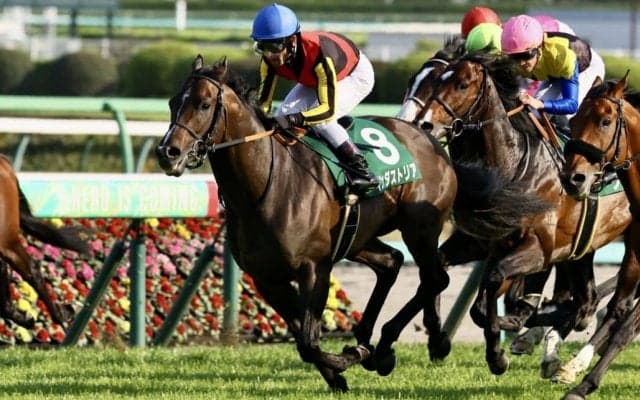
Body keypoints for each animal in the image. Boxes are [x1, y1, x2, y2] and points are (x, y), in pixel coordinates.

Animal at [155, 55, 460, 391]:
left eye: (204, 104)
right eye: (172, 102)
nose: (167, 153)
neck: (266, 186)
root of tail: (428, 137)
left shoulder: (315, 268)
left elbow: (308, 342)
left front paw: (350, 357)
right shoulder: (267, 278)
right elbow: (303, 340)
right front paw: (343, 373)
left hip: (420, 229)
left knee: (435, 279)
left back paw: (394, 346)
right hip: (358, 238)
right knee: (392, 262)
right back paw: (373, 341)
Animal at [398, 46, 620, 368]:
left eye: (461, 85)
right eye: (426, 81)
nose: (423, 124)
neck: (510, 166)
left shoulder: (539, 249)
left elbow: (489, 295)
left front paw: (499, 349)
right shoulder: (482, 242)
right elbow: (442, 271)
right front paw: (438, 340)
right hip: (581, 249)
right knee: (584, 299)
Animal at [559, 74, 640, 399]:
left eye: (605, 121)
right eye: (574, 120)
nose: (572, 178)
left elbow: (626, 326)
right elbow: (617, 311)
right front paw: (576, 372)